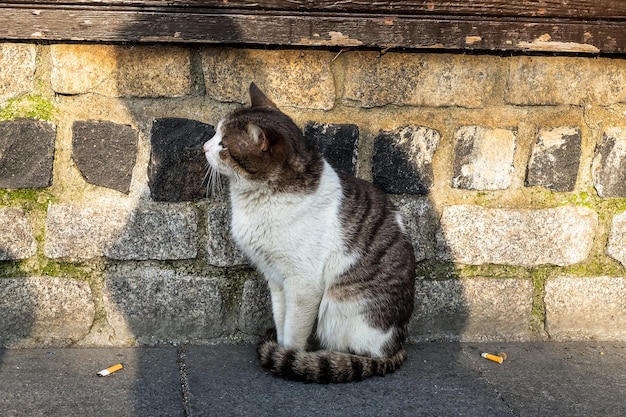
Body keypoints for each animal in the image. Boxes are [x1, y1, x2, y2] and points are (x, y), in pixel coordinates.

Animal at [201, 83, 414, 382]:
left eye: (223, 144)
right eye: (215, 135)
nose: (204, 146)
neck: (259, 198)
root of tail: (396, 345)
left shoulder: (304, 284)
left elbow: (294, 330)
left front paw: (289, 356)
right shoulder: (276, 278)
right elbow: (281, 320)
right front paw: (279, 347)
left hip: (341, 309)